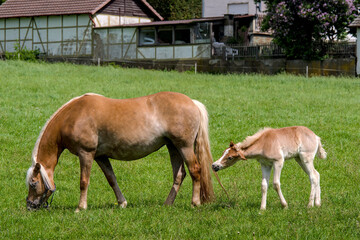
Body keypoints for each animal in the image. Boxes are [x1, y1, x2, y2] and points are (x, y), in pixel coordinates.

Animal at [27, 92, 217, 212]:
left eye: (33, 183)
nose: (29, 205)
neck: (73, 116)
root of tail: (192, 102)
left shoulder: (86, 153)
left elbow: (83, 181)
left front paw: (80, 207)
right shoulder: (100, 157)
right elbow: (111, 179)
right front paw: (122, 203)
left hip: (184, 146)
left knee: (195, 171)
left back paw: (194, 203)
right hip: (173, 147)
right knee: (179, 174)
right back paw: (167, 204)